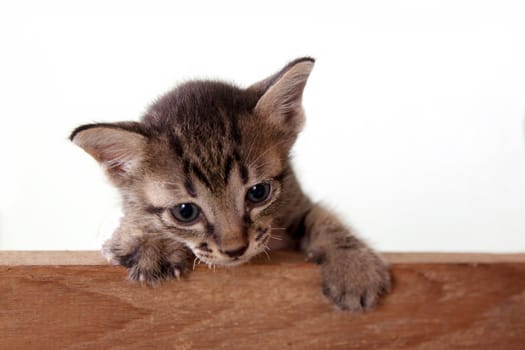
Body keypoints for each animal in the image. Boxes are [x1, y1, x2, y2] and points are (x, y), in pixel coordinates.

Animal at [69, 58, 388, 312]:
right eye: (185, 212)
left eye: (258, 193)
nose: (235, 249)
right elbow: (133, 215)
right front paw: (151, 243)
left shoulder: (297, 202)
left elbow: (322, 215)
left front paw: (355, 269)